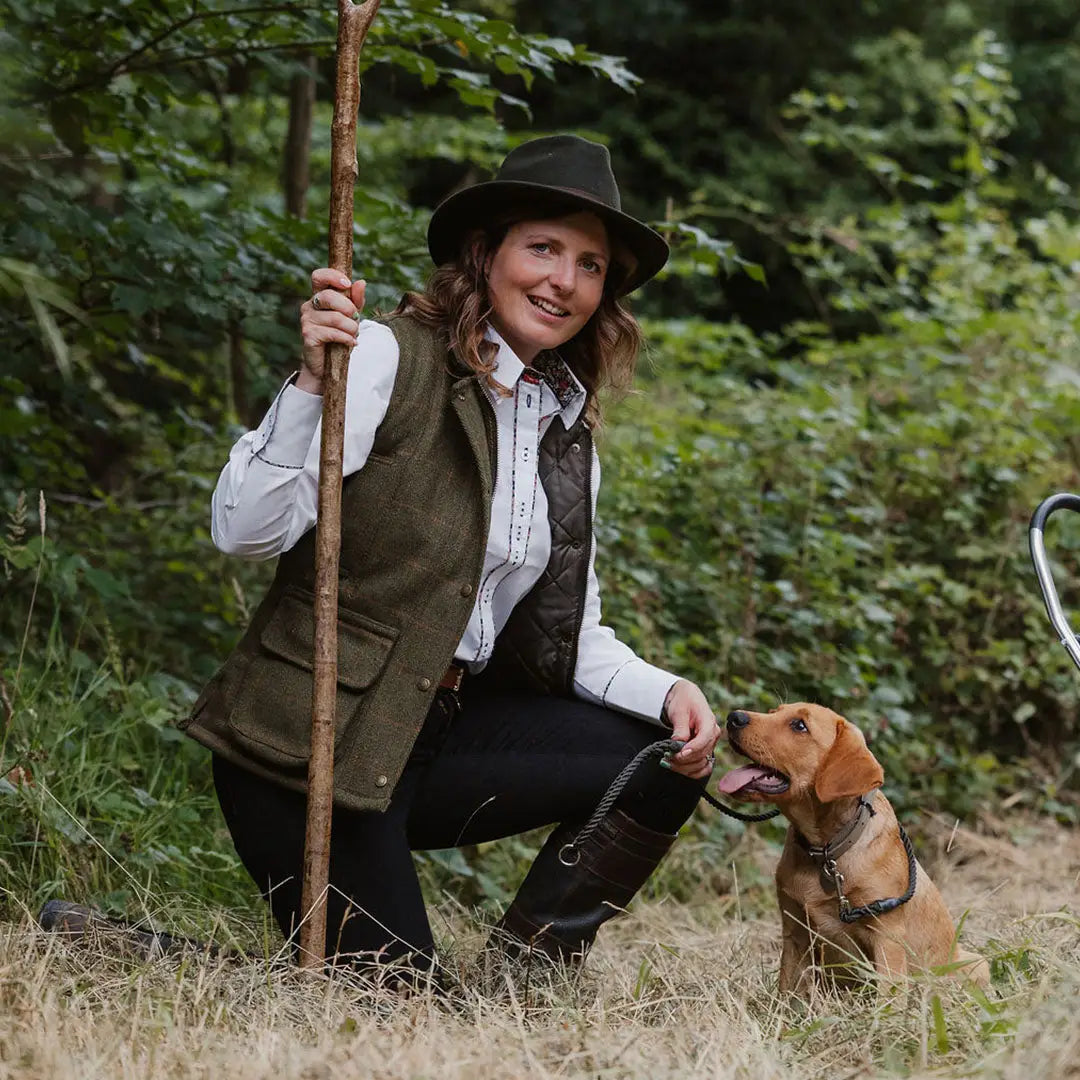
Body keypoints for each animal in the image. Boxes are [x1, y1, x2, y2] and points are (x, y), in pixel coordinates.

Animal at [717, 699, 989, 993]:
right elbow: (787, 992)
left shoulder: (887, 937)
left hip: (976, 963)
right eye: (772, 712)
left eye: (799, 725)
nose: (734, 717)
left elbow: (889, 994)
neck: (825, 852)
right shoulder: (795, 933)